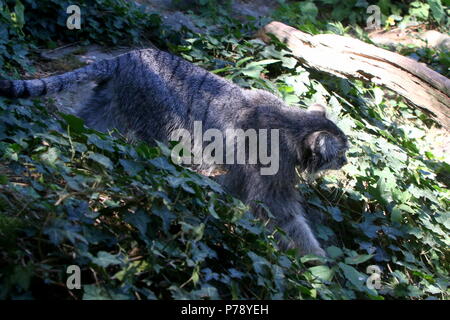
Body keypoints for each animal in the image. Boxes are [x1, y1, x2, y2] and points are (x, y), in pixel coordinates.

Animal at [0, 47, 348, 258]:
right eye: (342, 151)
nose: (346, 160)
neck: (292, 123)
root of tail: (128, 55)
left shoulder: (237, 175)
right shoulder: (271, 188)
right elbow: (290, 221)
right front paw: (320, 263)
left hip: (105, 109)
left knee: (81, 126)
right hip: (159, 129)